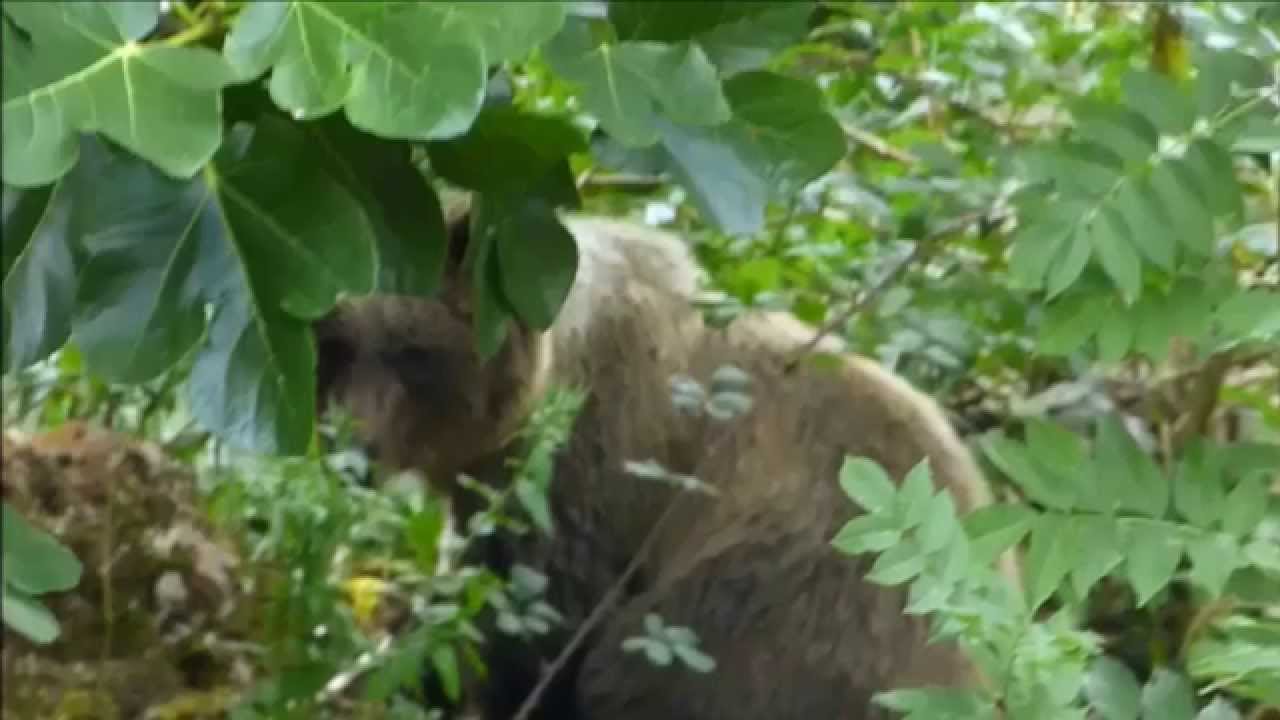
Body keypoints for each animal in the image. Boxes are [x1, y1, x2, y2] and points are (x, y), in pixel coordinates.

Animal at [313, 208, 1019, 719]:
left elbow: (537, 623)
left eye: (413, 351)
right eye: (338, 346)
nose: (353, 450)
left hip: (793, 595)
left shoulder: (587, 465)